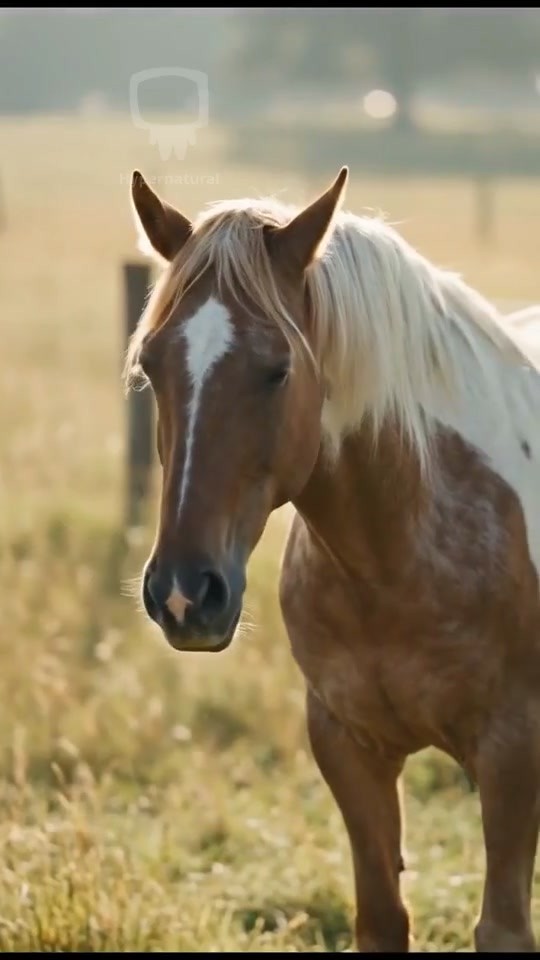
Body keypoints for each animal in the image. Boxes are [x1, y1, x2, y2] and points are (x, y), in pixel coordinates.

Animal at [124, 166, 540, 952]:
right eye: (150, 365)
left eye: (277, 370)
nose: (186, 595)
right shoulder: (348, 747)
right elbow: (380, 917)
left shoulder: (513, 752)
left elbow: (502, 926)